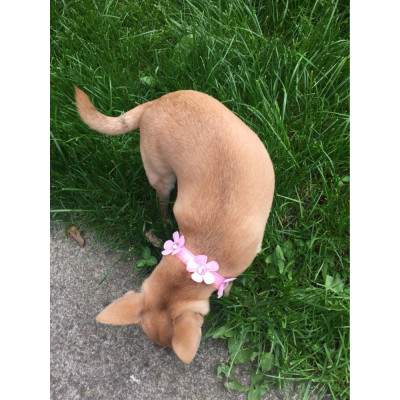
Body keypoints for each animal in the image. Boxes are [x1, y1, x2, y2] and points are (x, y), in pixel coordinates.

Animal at [74, 86, 276, 362]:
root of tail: (153, 104)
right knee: (161, 198)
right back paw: (164, 219)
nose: (162, 350)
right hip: (160, 173)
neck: (203, 252)